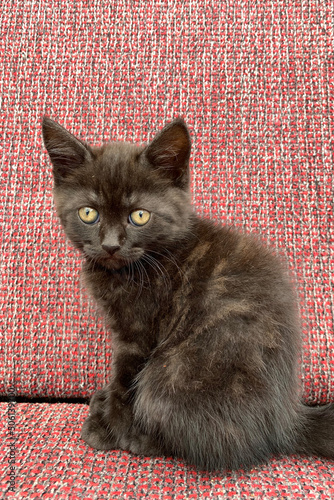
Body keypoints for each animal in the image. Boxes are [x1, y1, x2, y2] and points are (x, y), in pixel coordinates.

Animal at [42, 118, 334, 472]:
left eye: (139, 215)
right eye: (88, 213)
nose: (110, 245)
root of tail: (287, 421)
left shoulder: (138, 332)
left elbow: (125, 383)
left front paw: (108, 428)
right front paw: (105, 406)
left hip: (171, 374)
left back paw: (143, 439)